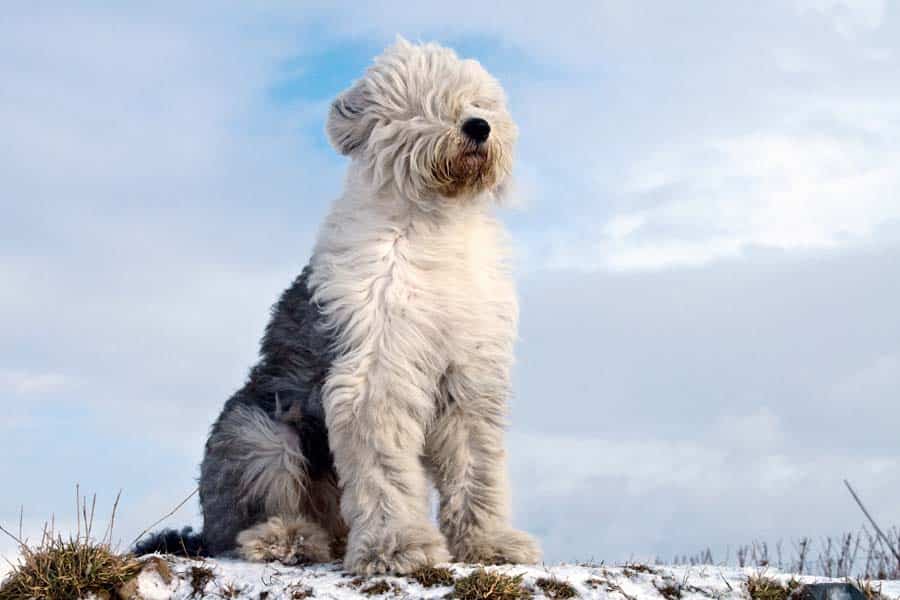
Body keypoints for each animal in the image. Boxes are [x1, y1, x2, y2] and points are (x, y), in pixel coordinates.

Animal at [134, 37, 540, 576]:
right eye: (423, 104)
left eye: (480, 101)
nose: (478, 127)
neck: (434, 225)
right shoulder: (377, 372)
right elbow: (385, 467)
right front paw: (396, 545)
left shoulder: (469, 376)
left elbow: (476, 465)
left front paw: (489, 542)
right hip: (259, 433)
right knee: (249, 523)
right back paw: (287, 539)